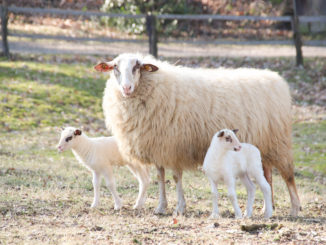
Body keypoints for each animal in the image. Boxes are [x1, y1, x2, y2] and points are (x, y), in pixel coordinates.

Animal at [95, 53, 302, 216]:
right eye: (115, 67)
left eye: (137, 67)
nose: (126, 88)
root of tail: (276, 79)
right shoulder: (158, 145)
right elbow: (160, 177)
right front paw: (161, 207)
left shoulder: (173, 145)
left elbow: (176, 178)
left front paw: (180, 207)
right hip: (264, 145)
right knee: (268, 176)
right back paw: (268, 207)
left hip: (279, 142)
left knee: (288, 176)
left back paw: (294, 208)